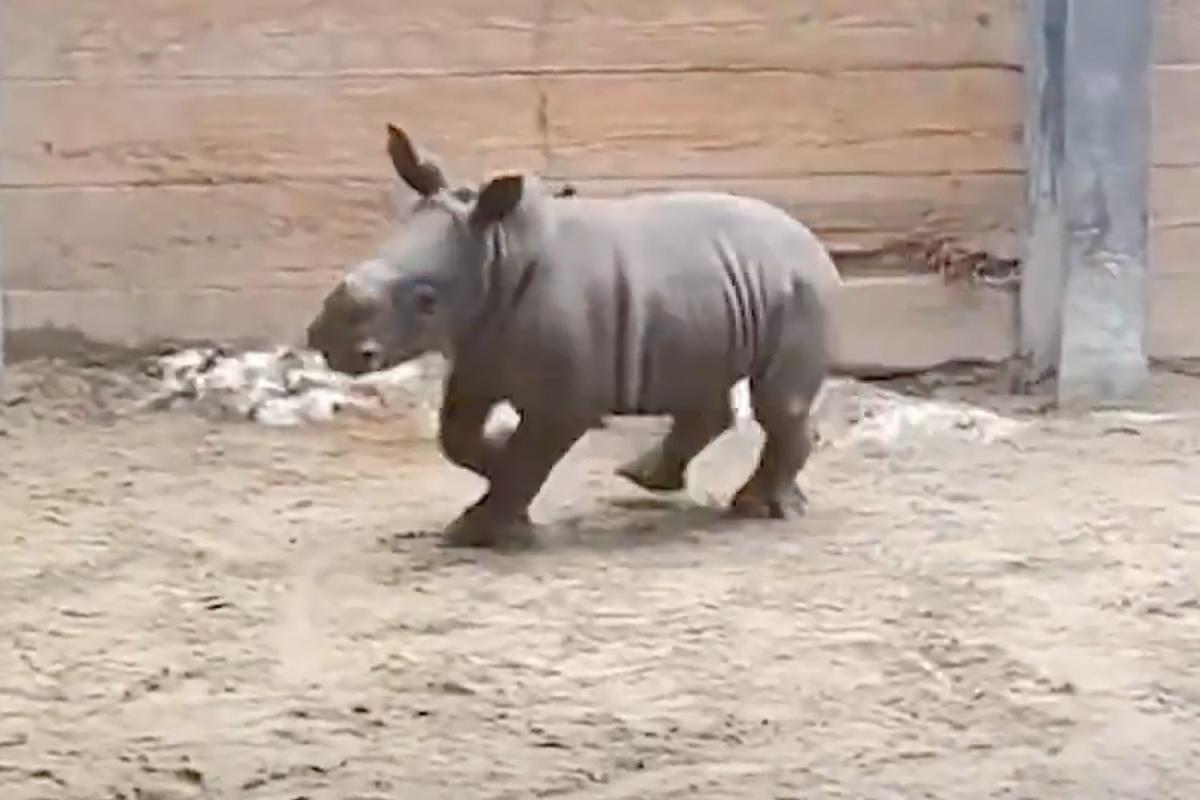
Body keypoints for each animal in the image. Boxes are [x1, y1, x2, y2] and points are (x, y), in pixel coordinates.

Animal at [304, 123, 840, 551]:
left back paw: (755, 509)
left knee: (778, 405)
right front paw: (496, 456)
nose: (329, 341)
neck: (498, 251)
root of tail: (813, 241)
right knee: (702, 384)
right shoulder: (479, 355)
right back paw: (646, 479)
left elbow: (530, 456)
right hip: (713, 287)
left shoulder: (563, 400)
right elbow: (456, 435)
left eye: (426, 300)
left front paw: (476, 532)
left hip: (801, 290)